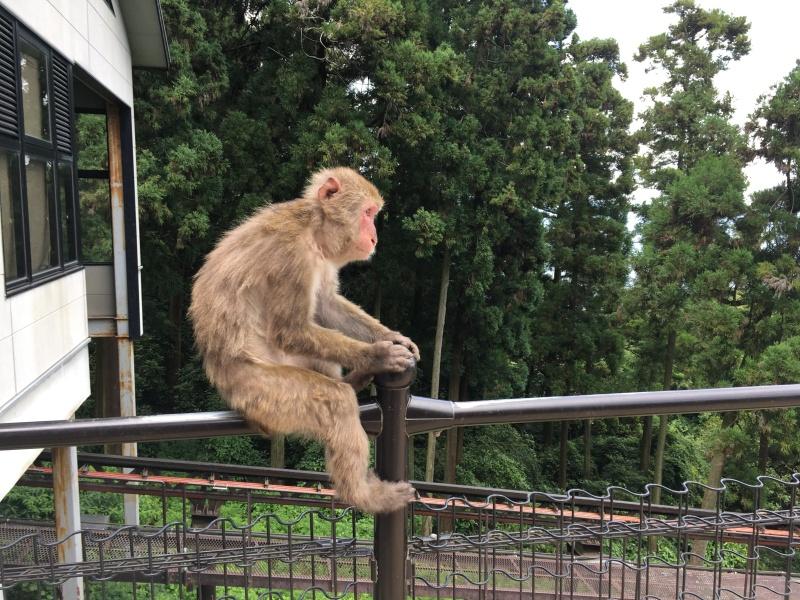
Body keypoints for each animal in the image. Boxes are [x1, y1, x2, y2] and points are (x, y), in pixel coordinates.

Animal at [189, 167, 420, 513]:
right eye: (368, 214)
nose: (374, 236)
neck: (314, 227)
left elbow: (326, 304)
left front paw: (392, 338)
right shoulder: (291, 254)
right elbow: (290, 329)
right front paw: (379, 355)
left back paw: (354, 380)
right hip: (262, 393)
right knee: (334, 401)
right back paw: (363, 495)